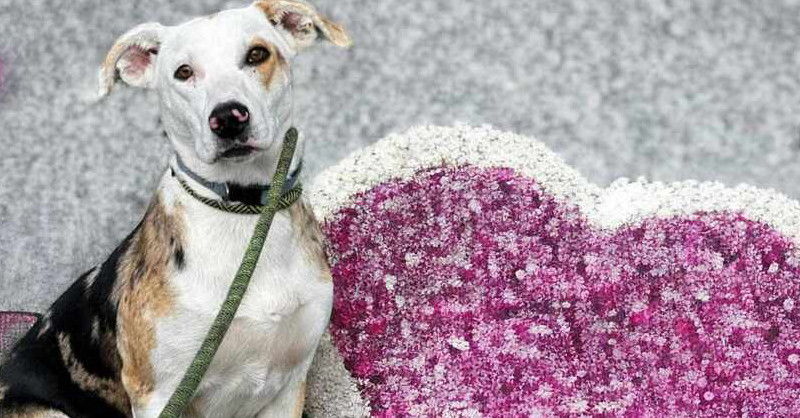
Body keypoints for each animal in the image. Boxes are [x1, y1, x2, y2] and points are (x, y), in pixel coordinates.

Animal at [0, 1, 350, 416]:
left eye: (257, 54)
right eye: (183, 72)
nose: (228, 118)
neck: (241, 214)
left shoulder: (288, 386)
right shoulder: (158, 391)